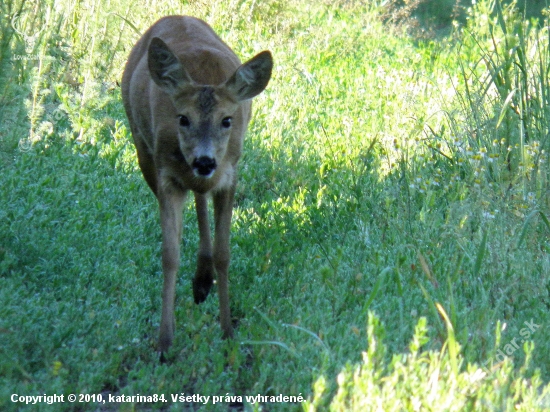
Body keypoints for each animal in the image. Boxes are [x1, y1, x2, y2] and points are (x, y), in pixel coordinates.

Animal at [122, 16, 274, 358]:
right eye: (183, 118)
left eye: (227, 120)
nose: (204, 160)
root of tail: (174, 16)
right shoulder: (166, 175)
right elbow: (170, 254)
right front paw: (165, 342)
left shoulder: (229, 174)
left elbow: (224, 253)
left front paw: (228, 331)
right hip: (142, 149)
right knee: (194, 197)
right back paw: (199, 280)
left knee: (201, 197)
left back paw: (203, 279)